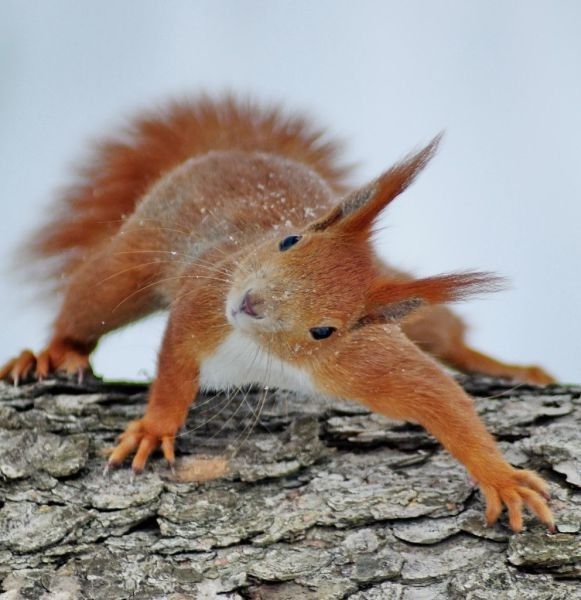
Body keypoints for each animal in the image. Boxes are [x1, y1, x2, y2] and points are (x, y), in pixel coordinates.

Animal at [0, 96, 552, 532]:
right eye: (290, 239)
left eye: (324, 329)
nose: (250, 302)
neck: (258, 350)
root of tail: (249, 153)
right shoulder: (206, 298)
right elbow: (175, 367)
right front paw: (156, 428)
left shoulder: (361, 361)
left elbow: (437, 395)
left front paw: (500, 477)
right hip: (135, 256)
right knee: (86, 302)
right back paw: (49, 353)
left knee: (447, 335)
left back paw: (510, 368)